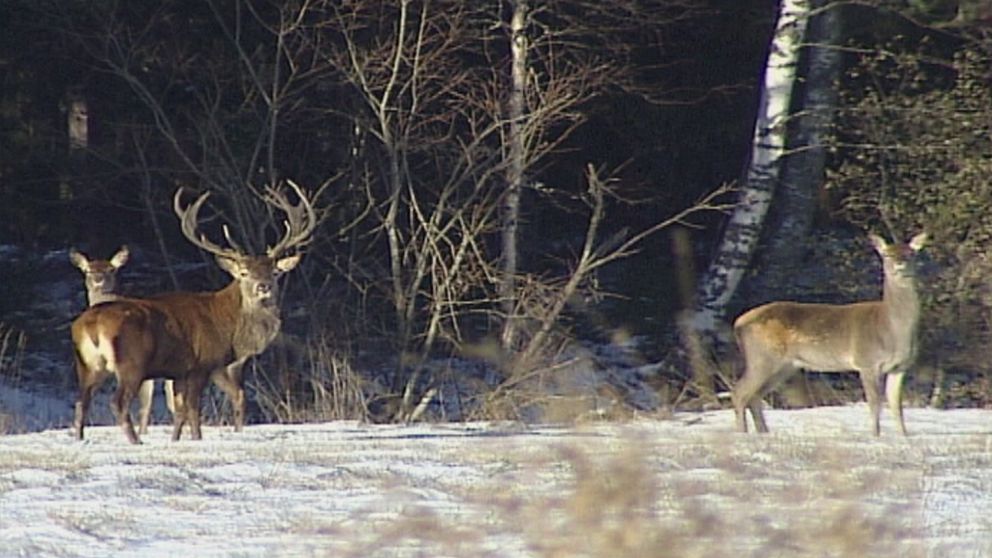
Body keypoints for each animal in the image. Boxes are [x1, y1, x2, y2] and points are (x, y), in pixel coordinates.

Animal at [728, 232, 928, 438]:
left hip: (784, 366)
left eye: (911, 253)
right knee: (739, 392)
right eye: (887, 254)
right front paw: (875, 435)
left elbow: (897, 406)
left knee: (755, 395)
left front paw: (904, 436)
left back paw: (763, 433)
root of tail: (738, 323)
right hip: (762, 357)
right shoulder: (867, 362)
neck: (892, 330)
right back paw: (742, 433)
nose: (900, 264)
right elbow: (875, 404)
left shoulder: (900, 367)